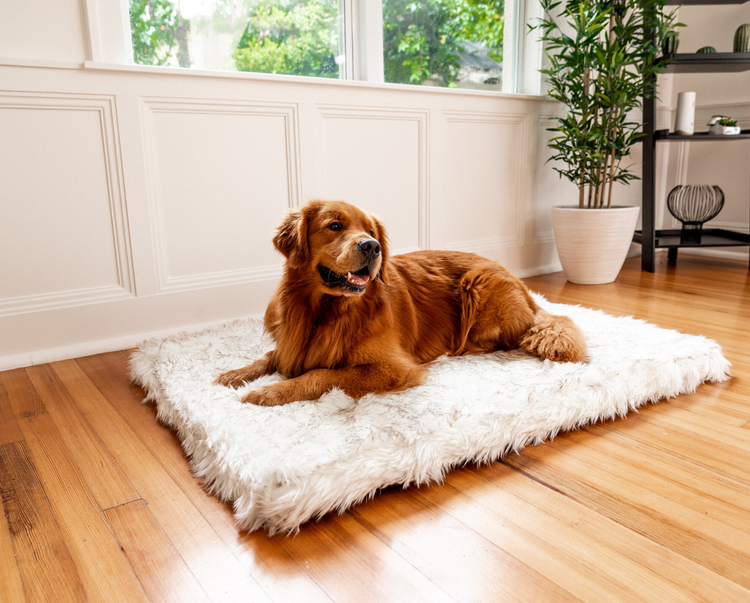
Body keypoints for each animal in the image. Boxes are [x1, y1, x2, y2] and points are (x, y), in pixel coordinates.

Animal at [217, 202, 588, 406]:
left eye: (371, 231)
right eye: (334, 225)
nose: (371, 247)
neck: (324, 310)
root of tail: (525, 289)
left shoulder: (392, 368)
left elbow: (320, 375)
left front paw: (269, 393)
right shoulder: (289, 343)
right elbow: (269, 356)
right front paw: (236, 374)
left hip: (477, 283)